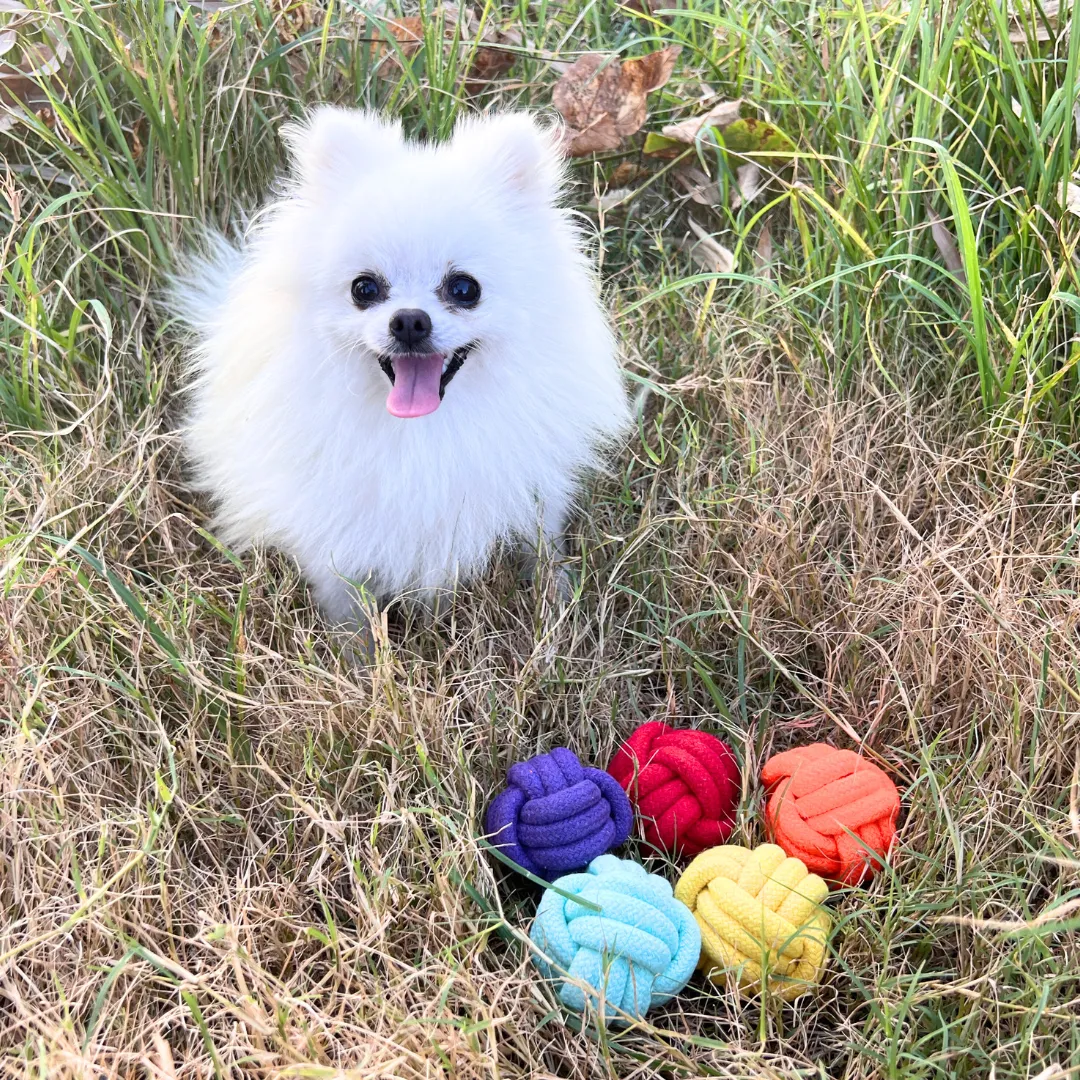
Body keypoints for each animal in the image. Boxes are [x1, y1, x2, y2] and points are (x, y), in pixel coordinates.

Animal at [167, 108, 626, 626]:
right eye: (364, 288)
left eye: (464, 288)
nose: (409, 321)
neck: (421, 432)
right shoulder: (333, 530)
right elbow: (347, 605)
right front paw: (354, 647)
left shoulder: (531, 492)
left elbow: (543, 550)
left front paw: (558, 608)